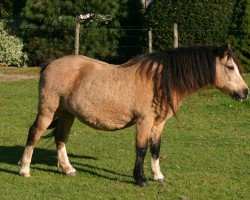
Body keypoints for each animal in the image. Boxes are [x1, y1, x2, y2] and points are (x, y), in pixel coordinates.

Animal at [19, 43, 248, 186]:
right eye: (230, 67)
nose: (245, 92)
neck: (160, 81)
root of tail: (51, 63)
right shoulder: (144, 122)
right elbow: (142, 149)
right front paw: (141, 179)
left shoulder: (159, 123)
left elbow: (155, 148)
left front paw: (158, 176)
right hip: (48, 110)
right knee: (34, 133)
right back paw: (24, 170)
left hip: (67, 113)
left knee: (60, 137)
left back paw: (67, 169)